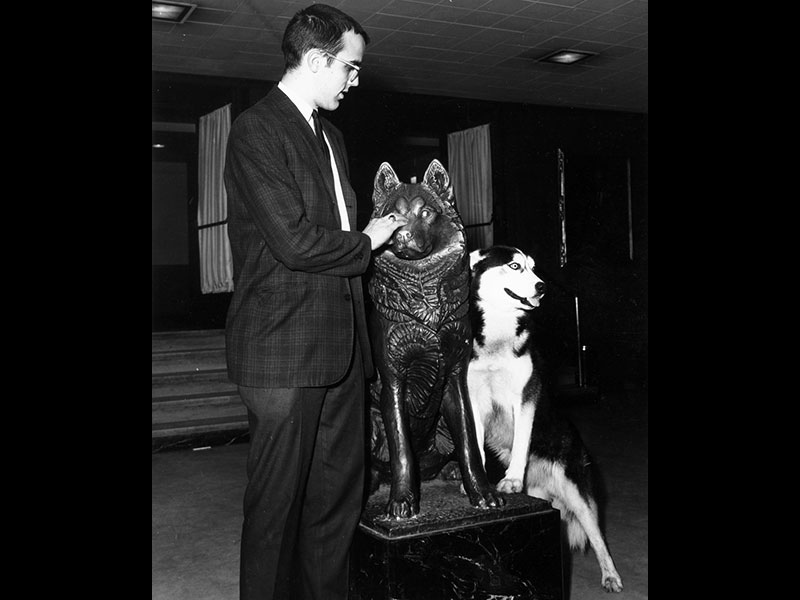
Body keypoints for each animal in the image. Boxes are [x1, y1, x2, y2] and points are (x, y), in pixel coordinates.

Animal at [468, 246, 624, 592]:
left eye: (534, 268)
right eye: (515, 266)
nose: (542, 287)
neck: (499, 333)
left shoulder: (525, 397)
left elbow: (521, 441)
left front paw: (511, 479)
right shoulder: (475, 398)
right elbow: (477, 445)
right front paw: (479, 481)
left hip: (577, 493)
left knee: (599, 539)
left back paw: (611, 576)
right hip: (546, 495)